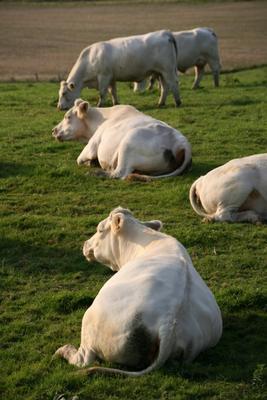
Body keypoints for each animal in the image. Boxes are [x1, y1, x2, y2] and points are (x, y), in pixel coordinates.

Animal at [51, 98, 192, 180]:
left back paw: (97, 173)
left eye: (68, 117)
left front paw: (91, 163)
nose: (53, 130)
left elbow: (79, 160)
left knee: (119, 173)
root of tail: (182, 143)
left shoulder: (91, 145)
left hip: (129, 142)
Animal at [54, 208, 224, 376]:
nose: (85, 244)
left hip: (90, 323)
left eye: (100, 229)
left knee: (84, 359)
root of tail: (168, 320)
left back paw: (63, 350)